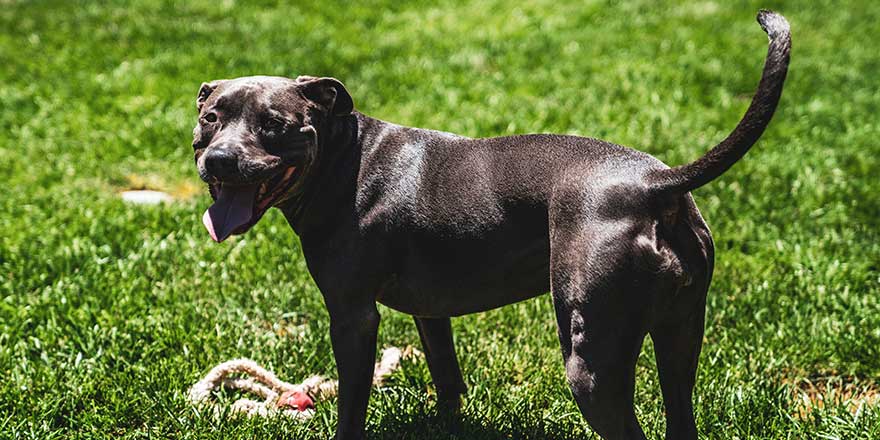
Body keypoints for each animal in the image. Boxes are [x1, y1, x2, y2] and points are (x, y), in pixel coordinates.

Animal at [191, 10, 792, 440]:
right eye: (210, 118)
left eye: (274, 125)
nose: (217, 160)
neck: (344, 159)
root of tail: (655, 185)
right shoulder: (430, 310)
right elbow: (447, 377)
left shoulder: (353, 316)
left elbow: (352, 403)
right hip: (680, 335)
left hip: (591, 359)